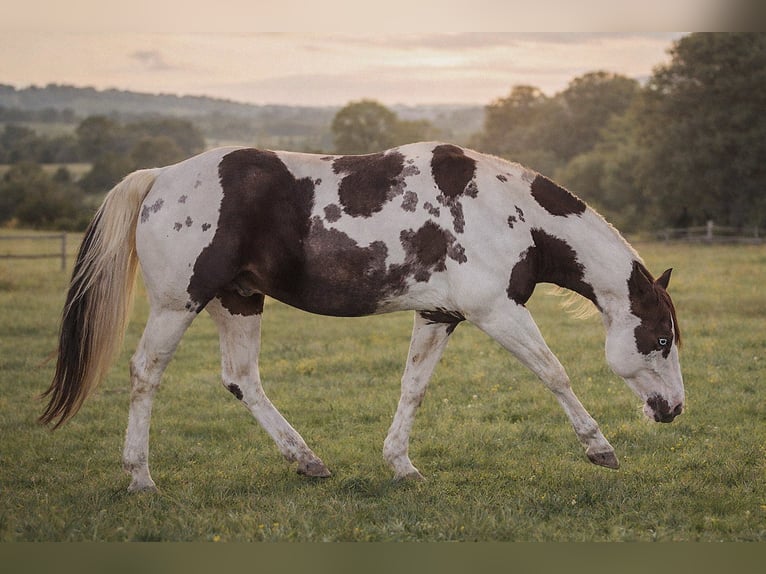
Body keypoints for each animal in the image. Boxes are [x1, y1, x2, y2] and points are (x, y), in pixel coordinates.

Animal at [40, 142, 683, 492]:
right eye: (658, 339)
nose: (673, 410)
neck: (509, 211)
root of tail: (158, 178)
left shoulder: (439, 313)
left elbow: (413, 388)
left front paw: (401, 464)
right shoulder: (496, 311)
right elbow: (555, 374)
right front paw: (599, 448)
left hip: (239, 298)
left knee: (242, 380)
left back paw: (308, 461)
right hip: (180, 304)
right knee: (145, 374)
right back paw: (140, 476)